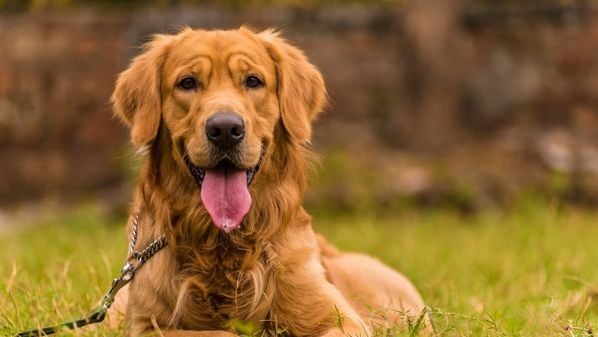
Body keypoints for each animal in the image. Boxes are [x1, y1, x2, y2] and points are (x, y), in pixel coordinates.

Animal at [109, 26, 432, 336]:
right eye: (187, 83)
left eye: (253, 81)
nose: (225, 129)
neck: (225, 241)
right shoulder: (146, 325)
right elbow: (220, 333)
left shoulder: (341, 319)